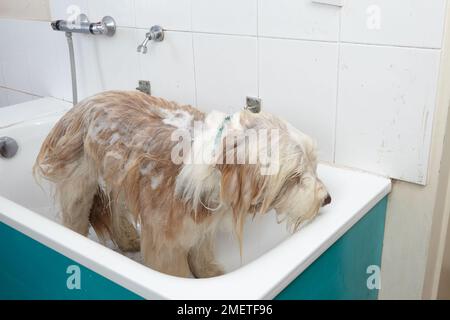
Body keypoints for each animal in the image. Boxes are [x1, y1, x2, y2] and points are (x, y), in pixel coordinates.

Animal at [34, 90, 330, 278]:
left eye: (314, 163)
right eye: (293, 177)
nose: (327, 199)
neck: (217, 164)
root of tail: (80, 104)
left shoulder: (201, 222)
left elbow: (201, 253)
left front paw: (210, 274)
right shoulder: (164, 242)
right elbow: (175, 270)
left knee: (116, 207)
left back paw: (128, 239)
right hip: (79, 183)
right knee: (75, 214)